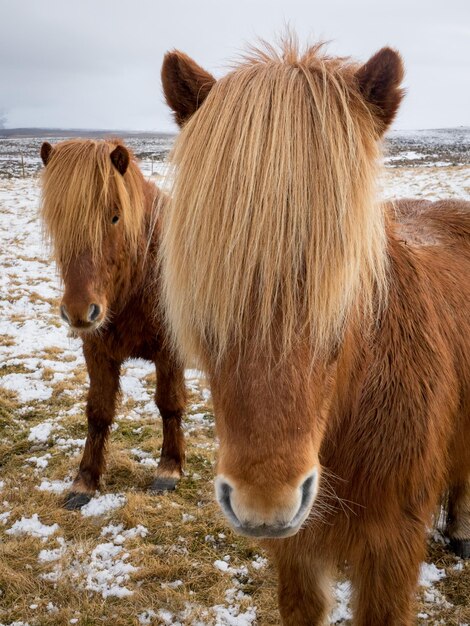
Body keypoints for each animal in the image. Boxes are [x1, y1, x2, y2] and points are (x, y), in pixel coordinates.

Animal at [40, 138, 187, 508]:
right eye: (57, 220)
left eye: (115, 217)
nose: (79, 311)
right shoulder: (97, 351)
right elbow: (98, 412)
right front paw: (85, 481)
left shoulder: (170, 353)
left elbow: (169, 404)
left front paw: (169, 468)